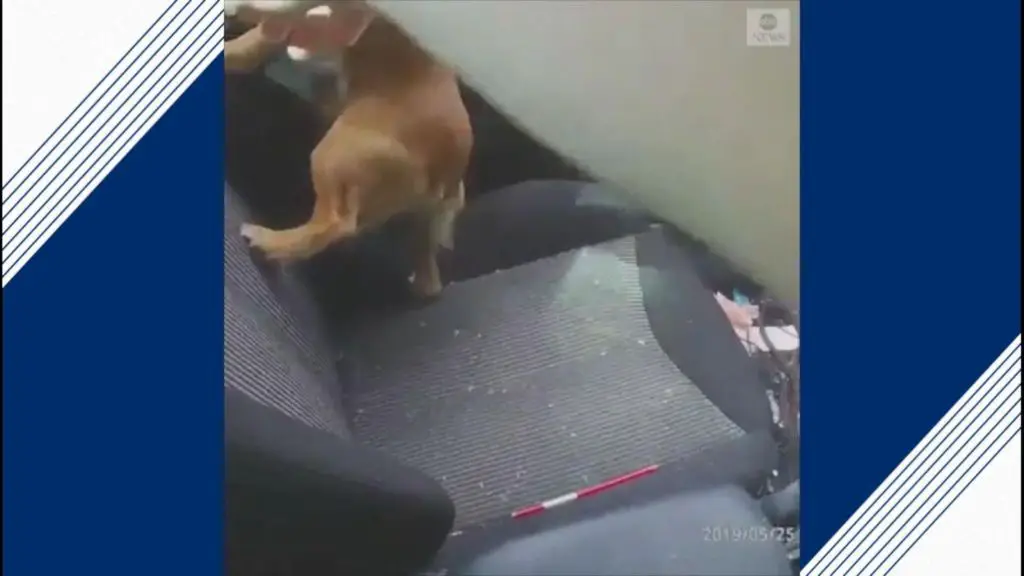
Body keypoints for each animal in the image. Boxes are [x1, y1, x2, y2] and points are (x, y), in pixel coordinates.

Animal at [230, 1, 468, 295]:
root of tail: (450, 160)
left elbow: (250, 41)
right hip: (426, 222)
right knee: (429, 279)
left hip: (336, 152)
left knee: (333, 224)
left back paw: (268, 241)